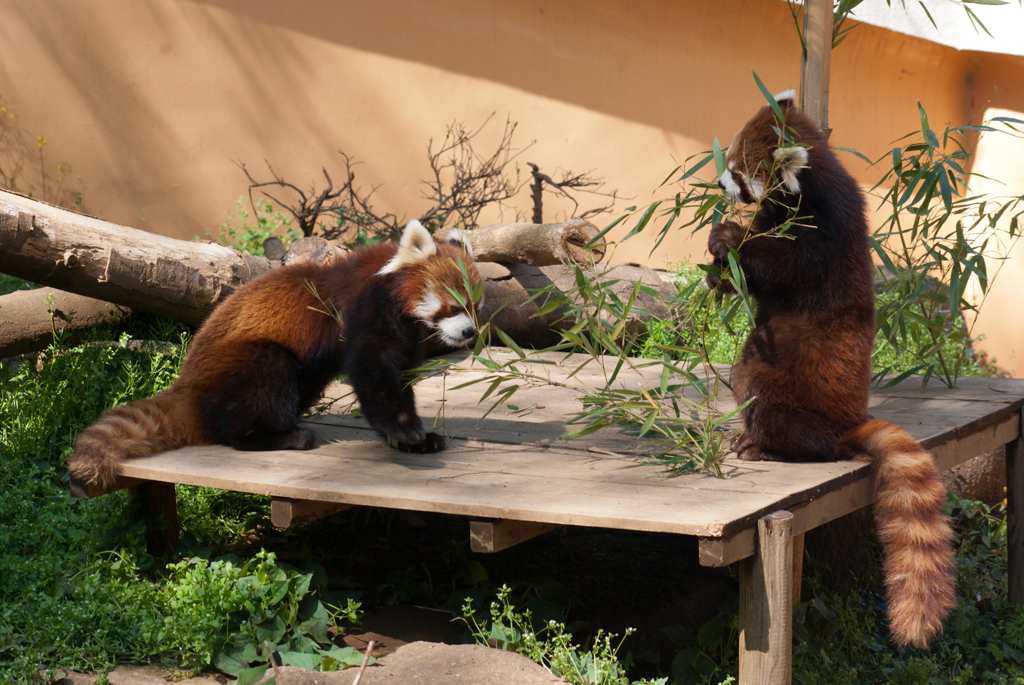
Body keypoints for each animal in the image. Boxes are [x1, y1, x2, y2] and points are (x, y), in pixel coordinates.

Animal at [69, 219, 483, 491]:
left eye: (475, 307)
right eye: (453, 306)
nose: (470, 333)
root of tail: (188, 386)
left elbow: (399, 379)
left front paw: (416, 439)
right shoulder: (363, 311)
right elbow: (374, 375)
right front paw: (405, 430)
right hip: (248, 363)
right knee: (261, 388)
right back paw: (280, 437)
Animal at [708, 90, 954, 647]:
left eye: (736, 169)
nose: (718, 184)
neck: (809, 188)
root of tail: (848, 421)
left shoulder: (824, 232)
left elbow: (778, 268)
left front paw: (727, 236)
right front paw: (717, 271)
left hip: (787, 381)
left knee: (768, 399)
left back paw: (764, 447)